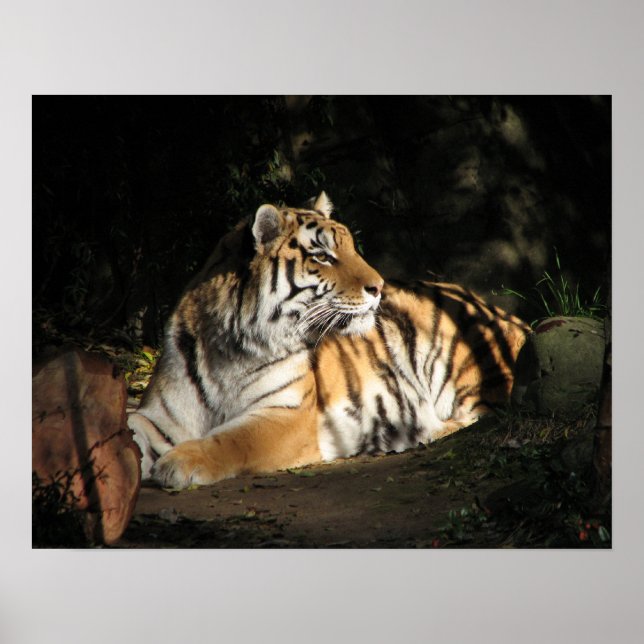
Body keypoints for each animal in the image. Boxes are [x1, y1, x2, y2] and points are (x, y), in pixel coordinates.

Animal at [128, 192, 530, 489]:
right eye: (322, 256)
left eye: (351, 248)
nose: (379, 287)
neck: (227, 347)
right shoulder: (161, 416)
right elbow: (131, 431)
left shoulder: (284, 415)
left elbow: (230, 440)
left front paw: (179, 462)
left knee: (483, 414)